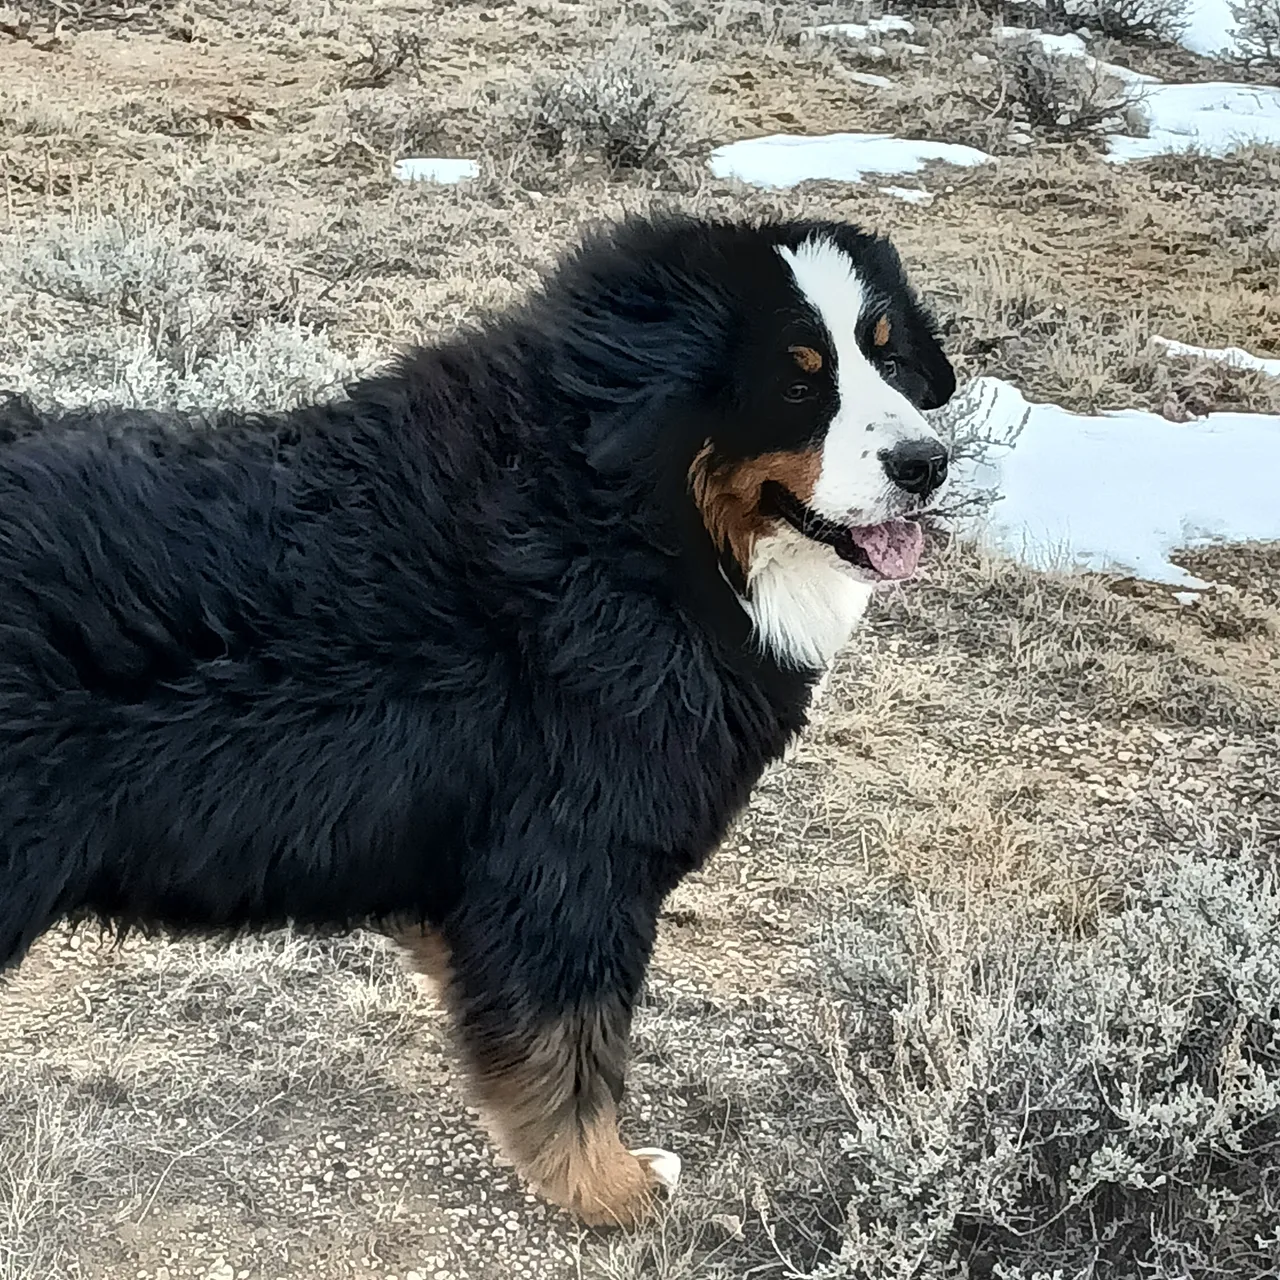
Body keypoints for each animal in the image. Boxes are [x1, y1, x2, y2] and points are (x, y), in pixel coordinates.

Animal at [0, 215, 957, 1223]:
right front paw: (610, 1184)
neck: (623, 524)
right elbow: (575, 1049)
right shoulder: (571, 867)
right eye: (797, 380)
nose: (927, 464)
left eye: (892, 361)